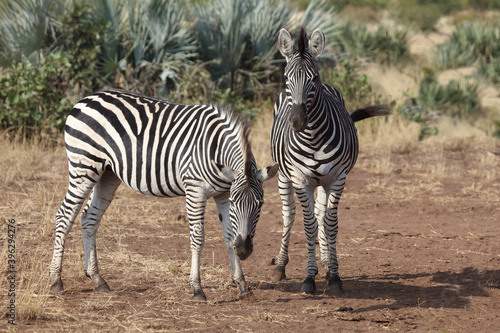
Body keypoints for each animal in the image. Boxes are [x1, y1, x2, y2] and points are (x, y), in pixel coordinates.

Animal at [48, 89, 280, 302]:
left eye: (260, 204)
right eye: (235, 203)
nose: (244, 251)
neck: (216, 148)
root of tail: (87, 98)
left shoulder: (222, 193)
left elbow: (230, 236)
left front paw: (242, 285)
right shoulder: (195, 190)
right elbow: (198, 237)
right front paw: (197, 288)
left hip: (107, 174)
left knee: (89, 218)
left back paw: (98, 280)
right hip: (84, 166)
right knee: (64, 216)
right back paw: (55, 281)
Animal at [270, 28, 390, 294]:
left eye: (313, 78)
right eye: (286, 78)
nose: (297, 121)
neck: (313, 138)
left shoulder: (337, 178)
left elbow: (330, 223)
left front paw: (333, 276)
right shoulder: (300, 179)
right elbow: (308, 225)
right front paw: (308, 278)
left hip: (323, 181)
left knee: (320, 213)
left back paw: (325, 261)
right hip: (284, 176)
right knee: (289, 214)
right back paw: (280, 266)